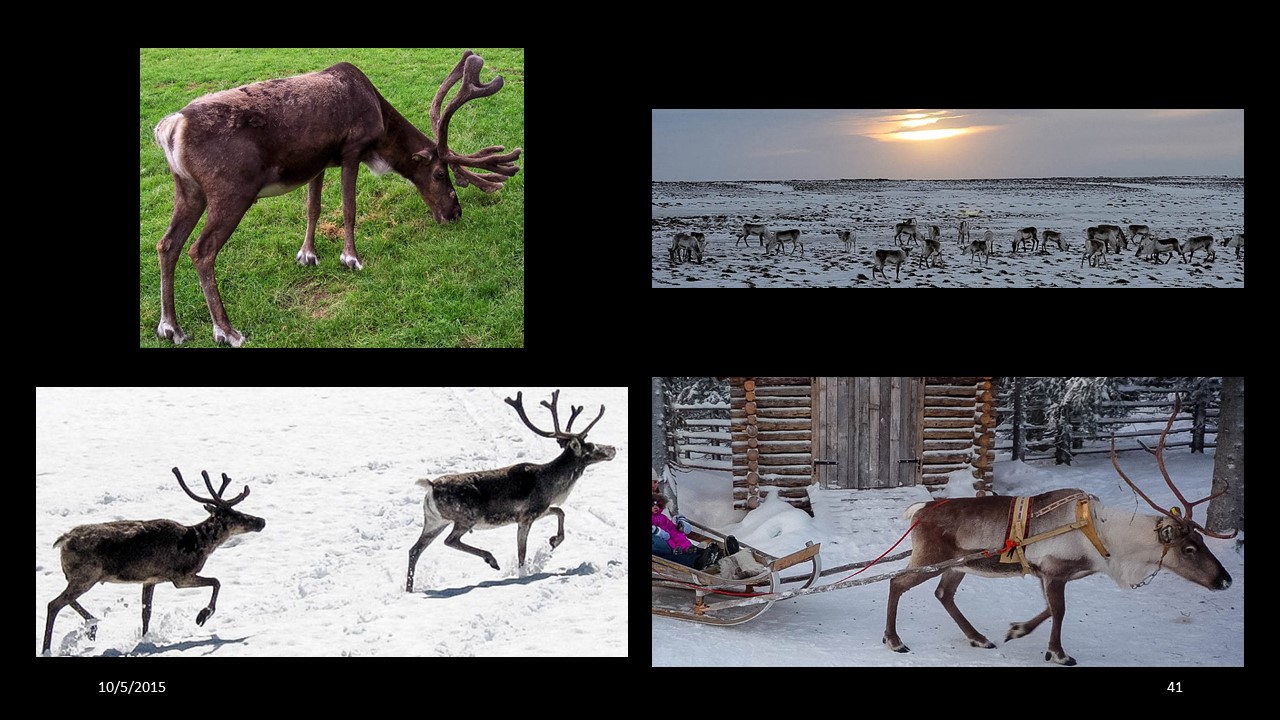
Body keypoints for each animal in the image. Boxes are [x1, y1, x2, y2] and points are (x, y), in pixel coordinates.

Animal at [41, 468, 265, 655]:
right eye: (235, 515)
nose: (261, 521)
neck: (199, 544)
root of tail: (62, 541)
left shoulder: (150, 579)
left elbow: (146, 612)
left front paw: (144, 640)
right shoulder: (180, 576)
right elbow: (217, 582)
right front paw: (202, 615)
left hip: (80, 576)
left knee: (66, 600)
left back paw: (92, 626)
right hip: (86, 575)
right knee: (54, 603)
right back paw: (49, 648)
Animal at [152, 50, 522, 346]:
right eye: (439, 174)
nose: (455, 212)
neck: (379, 126)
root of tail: (171, 126)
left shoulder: (317, 161)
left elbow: (313, 208)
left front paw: (308, 254)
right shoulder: (352, 150)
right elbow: (348, 208)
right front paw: (350, 258)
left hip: (188, 190)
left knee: (167, 244)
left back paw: (171, 328)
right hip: (231, 191)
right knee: (201, 251)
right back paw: (227, 331)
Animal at [406, 390, 616, 592]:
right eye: (591, 446)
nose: (613, 448)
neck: (553, 485)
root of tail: (431, 486)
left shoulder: (541, 510)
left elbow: (560, 511)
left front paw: (554, 541)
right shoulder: (525, 516)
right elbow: (522, 552)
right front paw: (523, 575)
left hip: (434, 521)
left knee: (414, 550)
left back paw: (409, 589)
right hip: (465, 517)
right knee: (449, 540)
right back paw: (491, 560)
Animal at [882, 397, 1235, 666]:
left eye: (1201, 540)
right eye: (1189, 548)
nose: (1225, 580)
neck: (1107, 540)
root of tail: (920, 510)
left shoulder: (1051, 574)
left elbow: (1049, 610)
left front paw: (1017, 630)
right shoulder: (1054, 570)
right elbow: (1060, 611)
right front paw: (1059, 653)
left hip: (958, 565)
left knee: (944, 594)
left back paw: (979, 638)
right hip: (930, 558)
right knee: (897, 582)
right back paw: (895, 640)